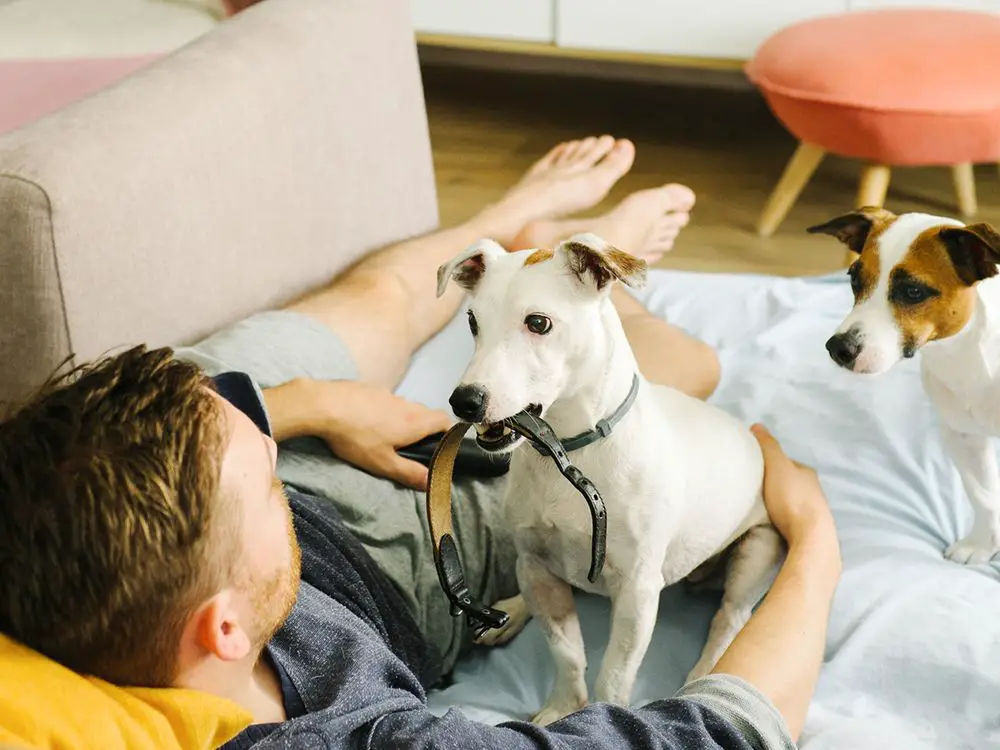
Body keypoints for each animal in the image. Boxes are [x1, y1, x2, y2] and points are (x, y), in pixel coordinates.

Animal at [436, 234, 780, 728]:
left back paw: (705, 673)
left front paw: (599, 716)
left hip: (756, 550)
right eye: (471, 322)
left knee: (728, 620)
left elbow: (615, 673)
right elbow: (567, 652)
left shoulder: (637, 592)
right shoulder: (537, 567)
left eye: (538, 323)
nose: (464, 401)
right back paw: (514, 607)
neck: (567, 455)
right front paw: (563, 707)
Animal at [808, 207, 1000, 564]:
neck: (964, 356)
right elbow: (983, 495)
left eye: (913, 292)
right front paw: (981, 544)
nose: (838, 348)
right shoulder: (962, 437)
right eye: (853, 279)